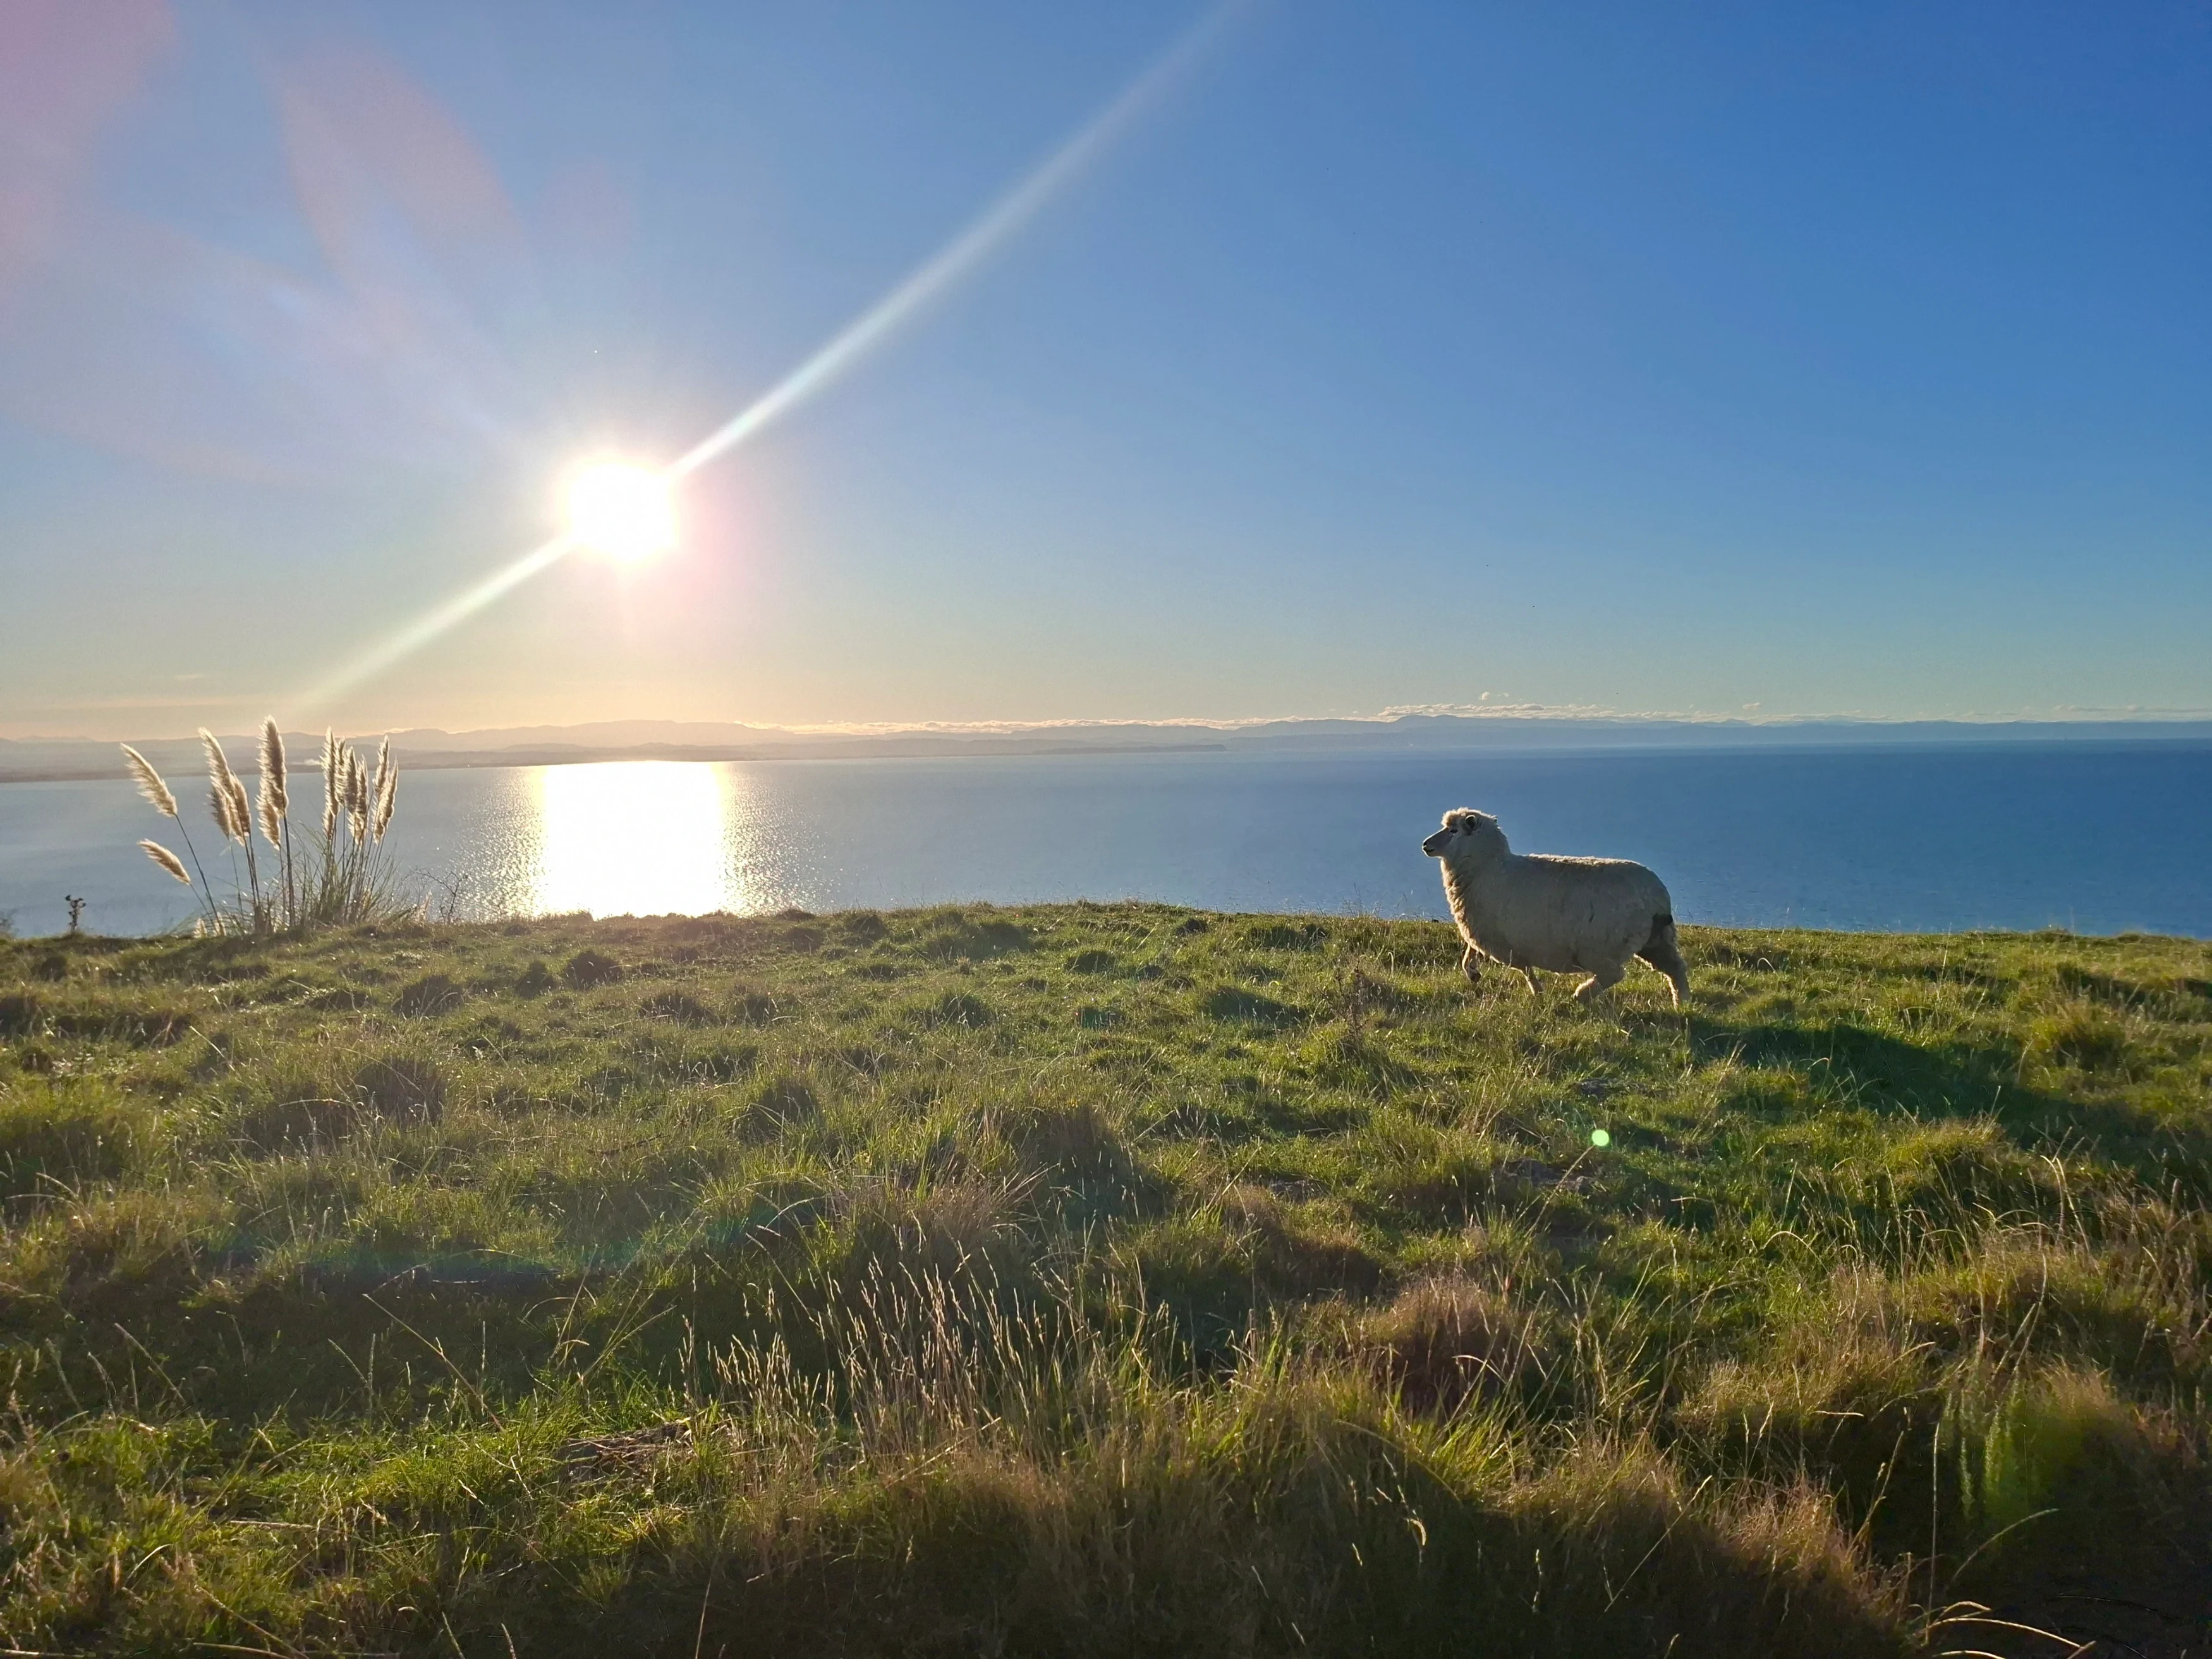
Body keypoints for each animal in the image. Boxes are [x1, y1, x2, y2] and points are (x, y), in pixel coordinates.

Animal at [1422, 808, 1689, 1006]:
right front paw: (1473, 973)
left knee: (1614, 975)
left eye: (1454, 831)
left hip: (1601, 947)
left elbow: (1524, 968)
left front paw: (1537, 992)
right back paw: (1681, 1003)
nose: (1425, 845)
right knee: (1676, 968)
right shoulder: (1485, 930)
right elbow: (1471, 953)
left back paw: (1582, 994)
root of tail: (1657, 896)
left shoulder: (1503, 939)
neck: (1487, 867)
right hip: (1656, 940)